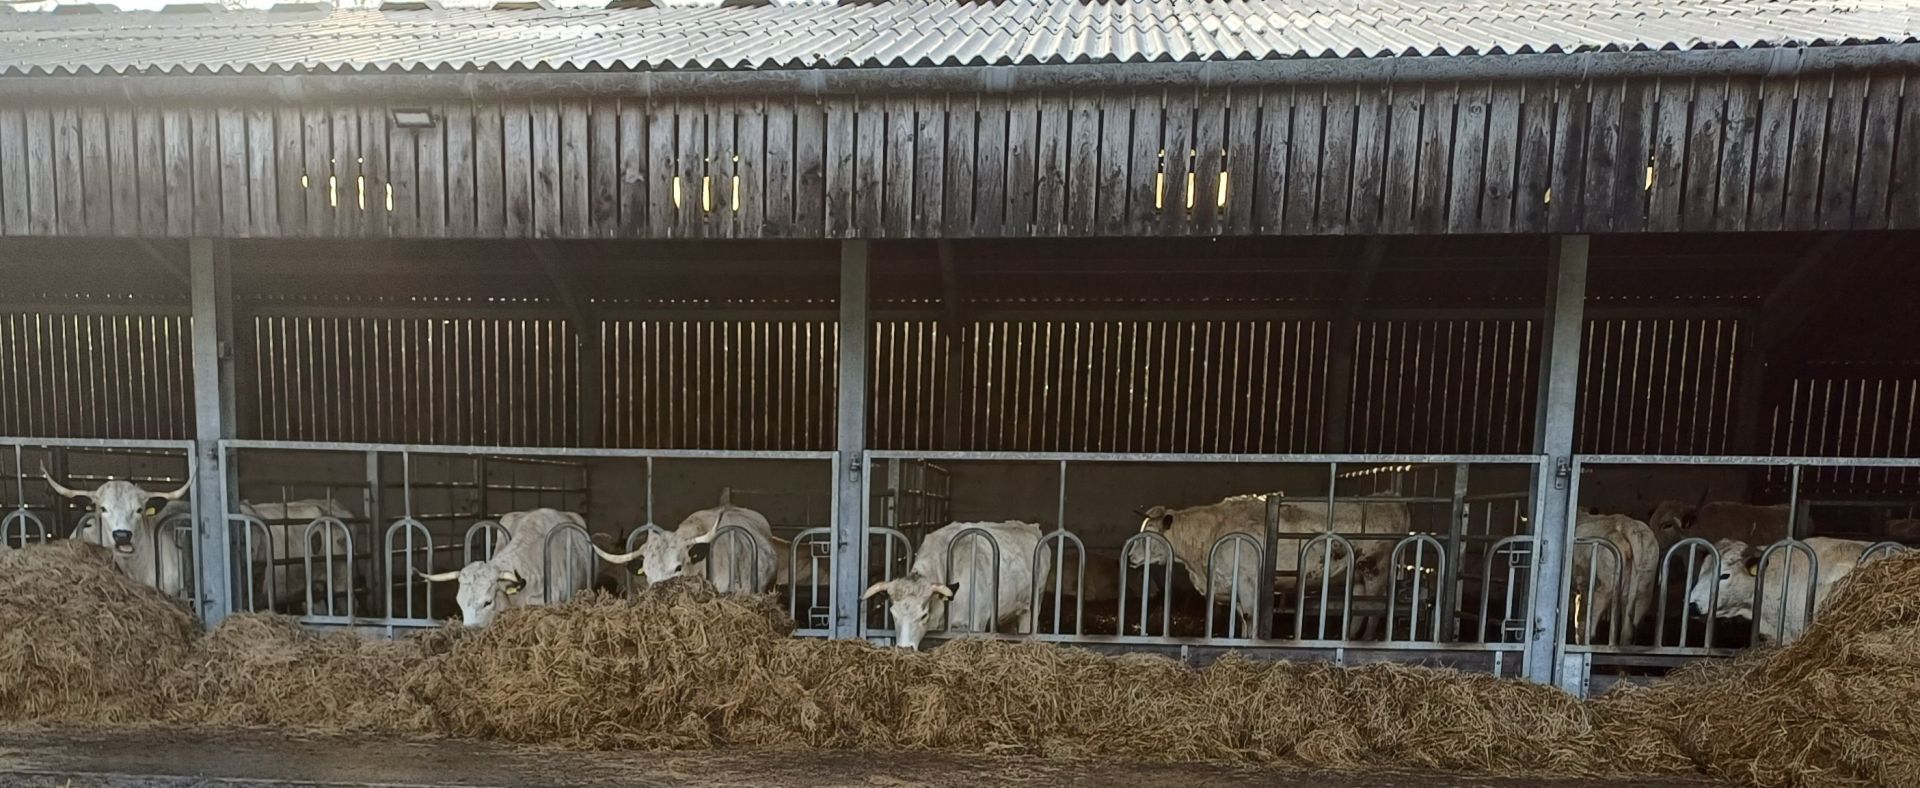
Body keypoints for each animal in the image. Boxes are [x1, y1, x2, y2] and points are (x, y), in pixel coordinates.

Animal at [862, 520, 1053, 650]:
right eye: (893, 614)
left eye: (924, 615)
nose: (904, 649)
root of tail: (1029, 526)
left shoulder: (975, 623)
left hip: (1032, 607)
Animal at [1126, 493, 1411, 638]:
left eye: (1148, 534)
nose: (1129, 558)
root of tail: (1391, 499)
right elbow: (1242, 619)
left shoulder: (1247, 581)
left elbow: (1250, 617)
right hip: (1359, 575)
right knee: (1359, 610)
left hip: (1376, 569)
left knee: (1374, 612)